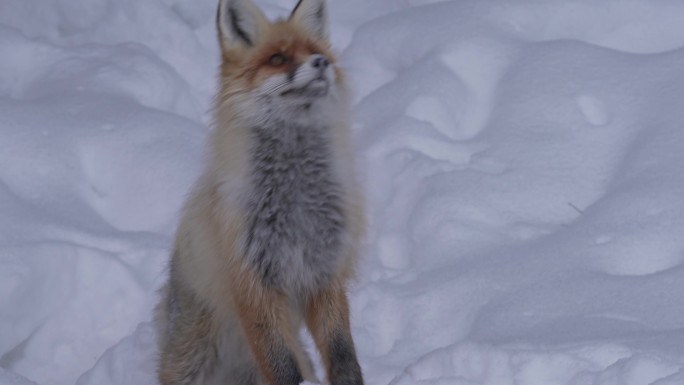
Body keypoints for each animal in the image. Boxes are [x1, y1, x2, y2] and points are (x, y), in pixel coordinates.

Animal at [154, 0, 366, 382]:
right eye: (278, 58)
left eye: (316, 51)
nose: (322, 63)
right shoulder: (254, 283)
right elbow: (281, 365)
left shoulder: (324, 272)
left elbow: (343, 353)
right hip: (188, 359)